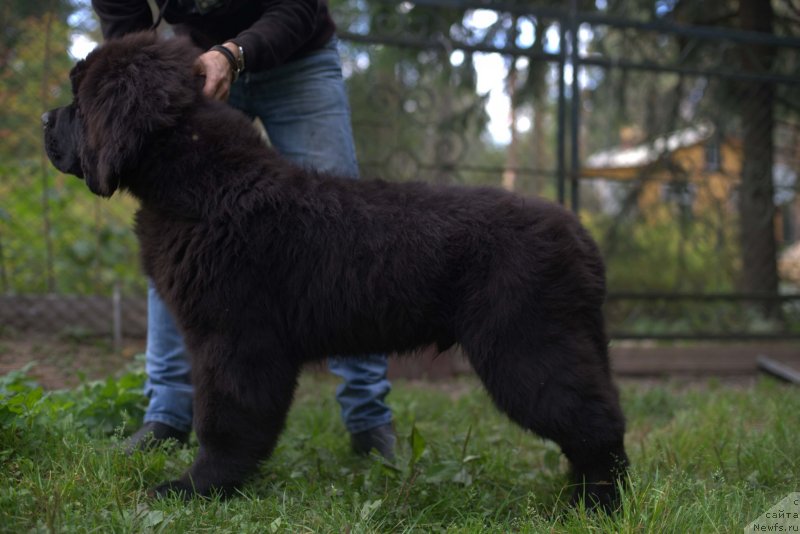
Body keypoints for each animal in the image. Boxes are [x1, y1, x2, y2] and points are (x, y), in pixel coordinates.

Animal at [43, 32, 628, 510]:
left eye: (78, 103)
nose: (46, 120)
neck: (206, 183)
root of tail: (581, 234)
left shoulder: (233, 340)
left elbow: (225, 419)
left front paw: (198, 488)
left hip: (525, 344)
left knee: (596, 424)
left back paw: (596, 505)